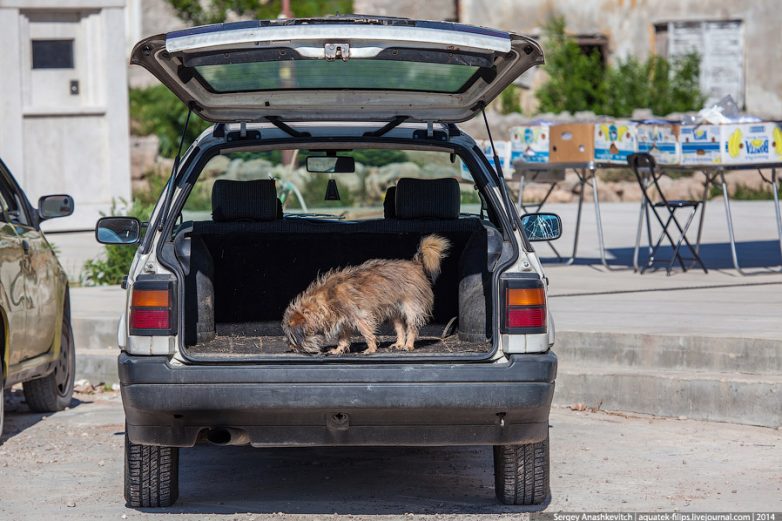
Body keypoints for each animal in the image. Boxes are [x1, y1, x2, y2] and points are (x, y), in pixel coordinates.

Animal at [284, 235, 450, 354]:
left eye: (293, 339)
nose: (291, 348)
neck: (325, 300)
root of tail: (415, 264)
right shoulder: (343, 320)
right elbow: (343, 337)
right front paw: (339, 349)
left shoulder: (360, 316)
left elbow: (366, 332)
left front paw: (371, 348)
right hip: (394, 311)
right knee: (400, 328)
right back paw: (399, 343)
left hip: (411, 308)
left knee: (411, 328)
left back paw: (408, 345)